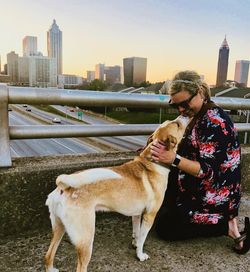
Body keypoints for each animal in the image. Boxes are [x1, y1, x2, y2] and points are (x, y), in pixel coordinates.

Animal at [45, 115, 189, 272]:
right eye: (177, 124)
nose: (184, 115)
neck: (152, 162)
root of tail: (63, 187)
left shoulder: (137, 214)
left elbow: (137, 233)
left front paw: (135, 243)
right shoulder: (149, 216)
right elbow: (142, 238)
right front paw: (140, 255)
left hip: (59, 228)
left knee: (48, 255)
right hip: (86, 239)